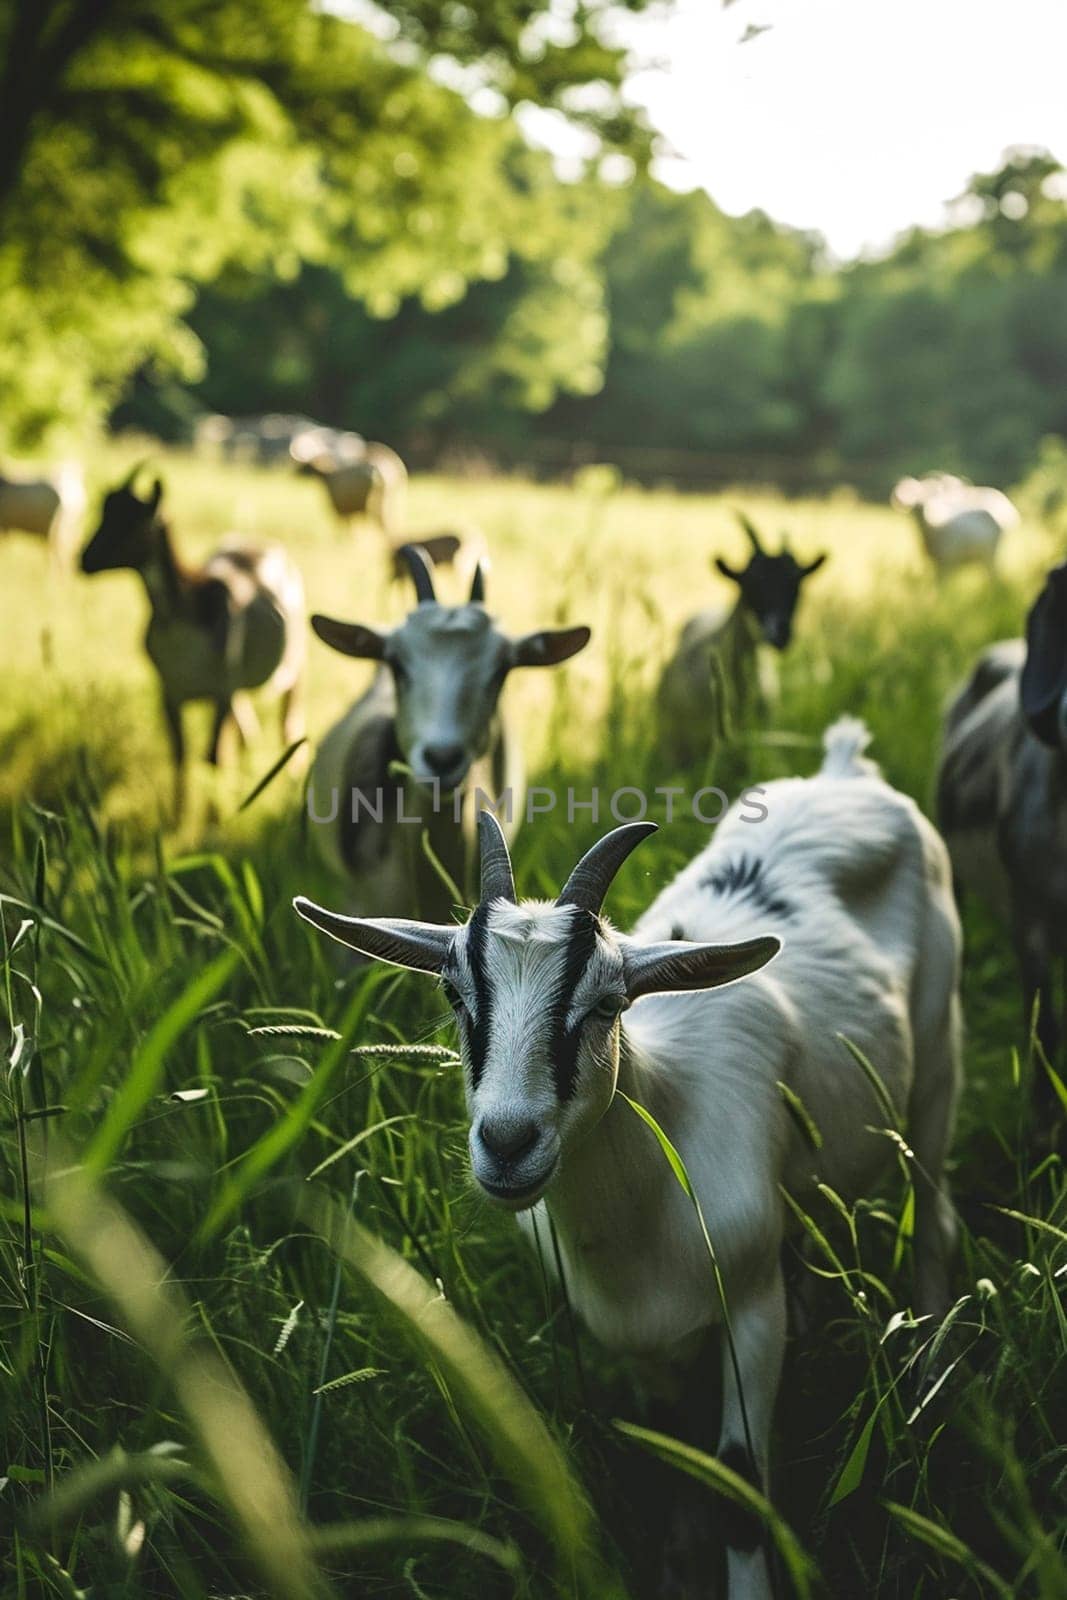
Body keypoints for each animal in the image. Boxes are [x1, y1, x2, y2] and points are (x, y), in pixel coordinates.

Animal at [78, 460, 303, 812]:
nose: (85, 560)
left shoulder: (223, 689)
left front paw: (212, 818)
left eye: (136, 522)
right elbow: (180, 754)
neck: (185, 619)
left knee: (288, 727)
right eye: (105, 512)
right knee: (246, 734)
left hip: (294, 664)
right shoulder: (169, 689)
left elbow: (212, 756)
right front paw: (177, 814)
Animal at [295, 723, 966, 1600]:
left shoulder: (752, 1311)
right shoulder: (642, 1347)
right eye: (453, 994)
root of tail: (844, 769)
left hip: (937, 1056)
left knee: (932, 1211)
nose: (506, 1143)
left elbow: (738, 1484)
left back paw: (927, 1375)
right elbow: (678, 1457)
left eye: (608, 1002)